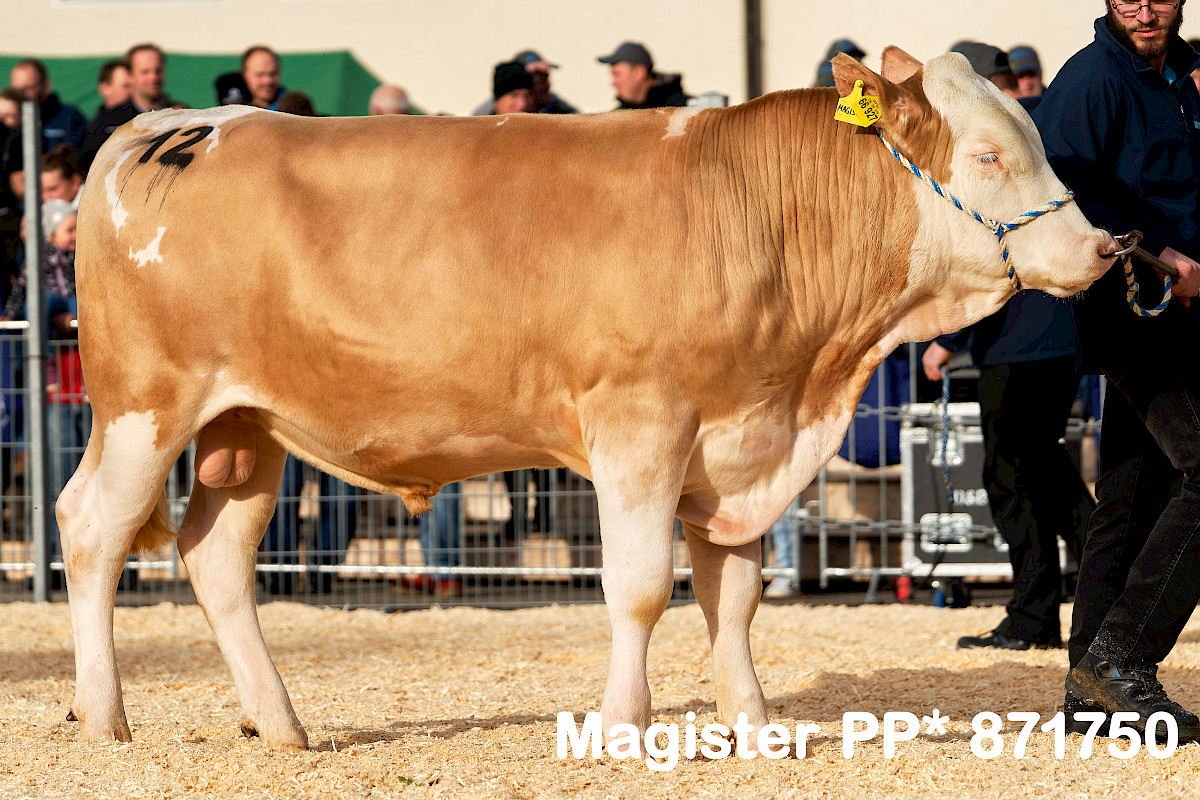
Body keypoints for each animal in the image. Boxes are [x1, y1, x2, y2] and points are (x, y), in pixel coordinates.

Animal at [59, 47, 1115, 749]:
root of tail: (172, 126)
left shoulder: (736, 444)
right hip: (144, 407)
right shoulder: (640, 425)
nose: (1107, 248)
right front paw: (622, 727)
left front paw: (751, 725)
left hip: (248, 427)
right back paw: (105, 718)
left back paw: (279, 725)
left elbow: (735, 596)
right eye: (988, 156)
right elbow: (641, 586)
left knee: (216, 558)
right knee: (91, 530)